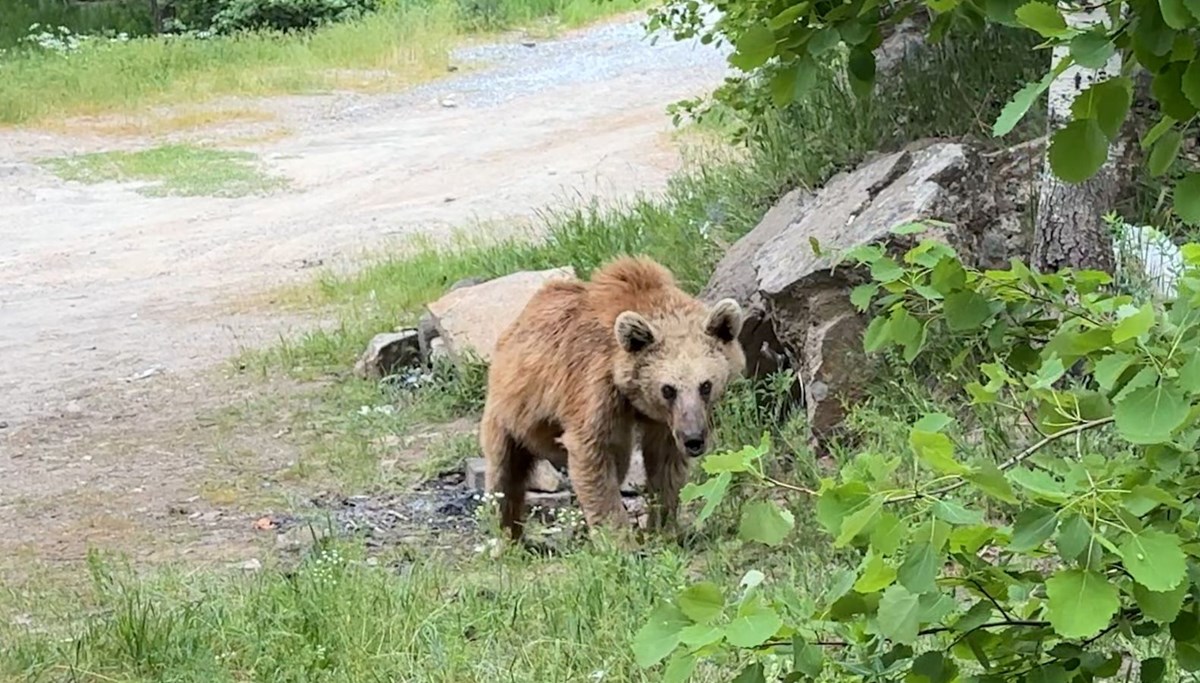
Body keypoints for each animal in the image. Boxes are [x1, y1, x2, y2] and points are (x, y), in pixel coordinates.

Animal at [475, 255, 739, 542]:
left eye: (705, 385)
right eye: (668, 389)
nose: (694, 440)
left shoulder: (664, 421)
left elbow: (665, 464)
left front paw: (662, 527)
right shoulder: (595, 388)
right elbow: (593, 452)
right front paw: (620, 539)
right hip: (510, 411)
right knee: (504, 475)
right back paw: (507, 537)